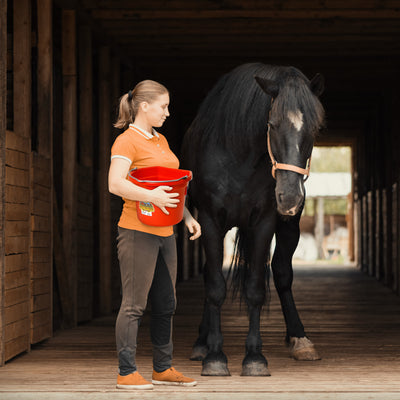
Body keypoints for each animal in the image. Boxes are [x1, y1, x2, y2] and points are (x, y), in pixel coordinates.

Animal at [181, 61, 324, 376]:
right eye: (271, 125)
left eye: (316, 128)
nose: (290, 197)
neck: (239, 157)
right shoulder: (210, 221)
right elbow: (215, 286)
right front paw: (215, 356)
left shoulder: (264, 223)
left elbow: (257, 288)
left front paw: (255, 358)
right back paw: (201, 342)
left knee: (282, 273)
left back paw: (299, 339)